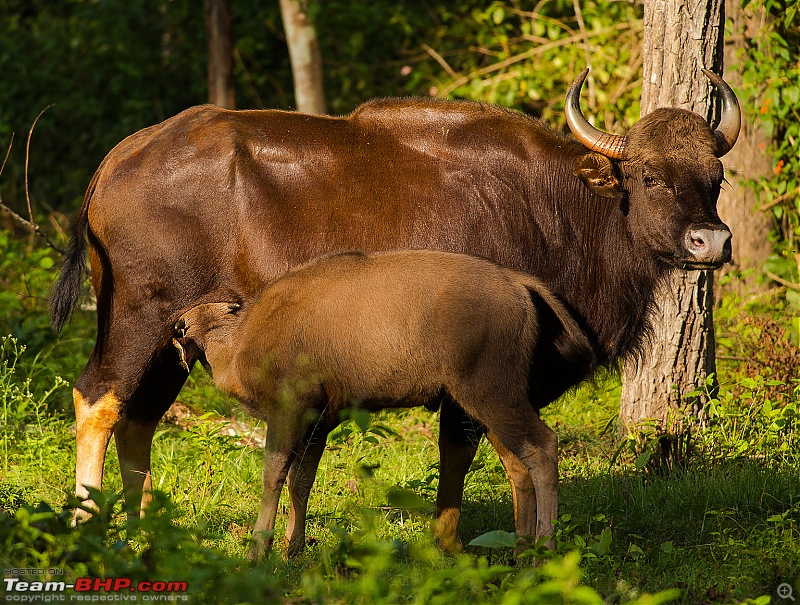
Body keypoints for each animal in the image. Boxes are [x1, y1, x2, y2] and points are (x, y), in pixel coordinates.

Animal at [173, 249, 592, 556]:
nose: (180, 328)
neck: (240, 338)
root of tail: (517, 283)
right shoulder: (319, 421)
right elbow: (301, 480)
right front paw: (294, 548)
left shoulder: (289, 412)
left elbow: (274, 475)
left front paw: (259, 551)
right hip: (489, 404)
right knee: (518, 464)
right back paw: (520, 551)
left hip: (490, 395)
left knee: (541, 447)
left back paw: (544, 549)